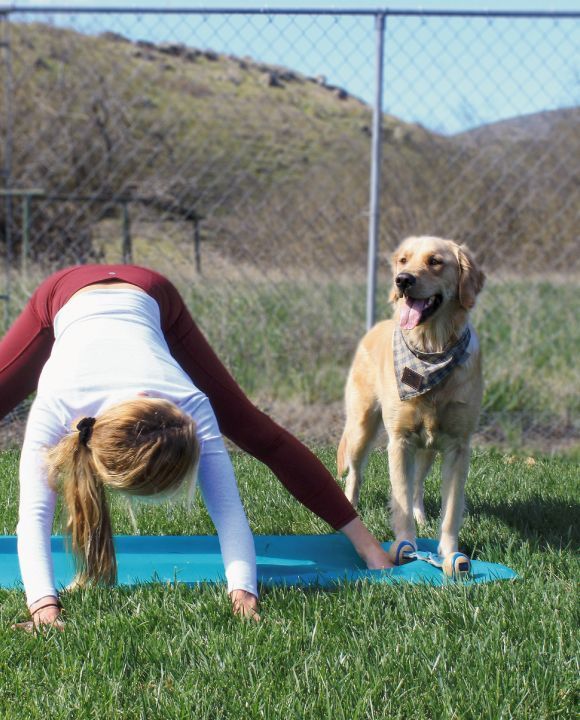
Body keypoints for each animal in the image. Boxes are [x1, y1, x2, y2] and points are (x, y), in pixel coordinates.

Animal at [336, 236, 484, 556]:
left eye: (435, 261)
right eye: (403, 260)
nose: (402, 280)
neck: (431, 350)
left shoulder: (458, 446)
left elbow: (450, 509)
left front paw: (449, 553)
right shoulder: (400, 441)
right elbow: (399, 499)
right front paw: (407, 546)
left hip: (428, 448)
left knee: (418, 486)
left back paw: (422, 517)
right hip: (361, 427)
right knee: (355, 474)